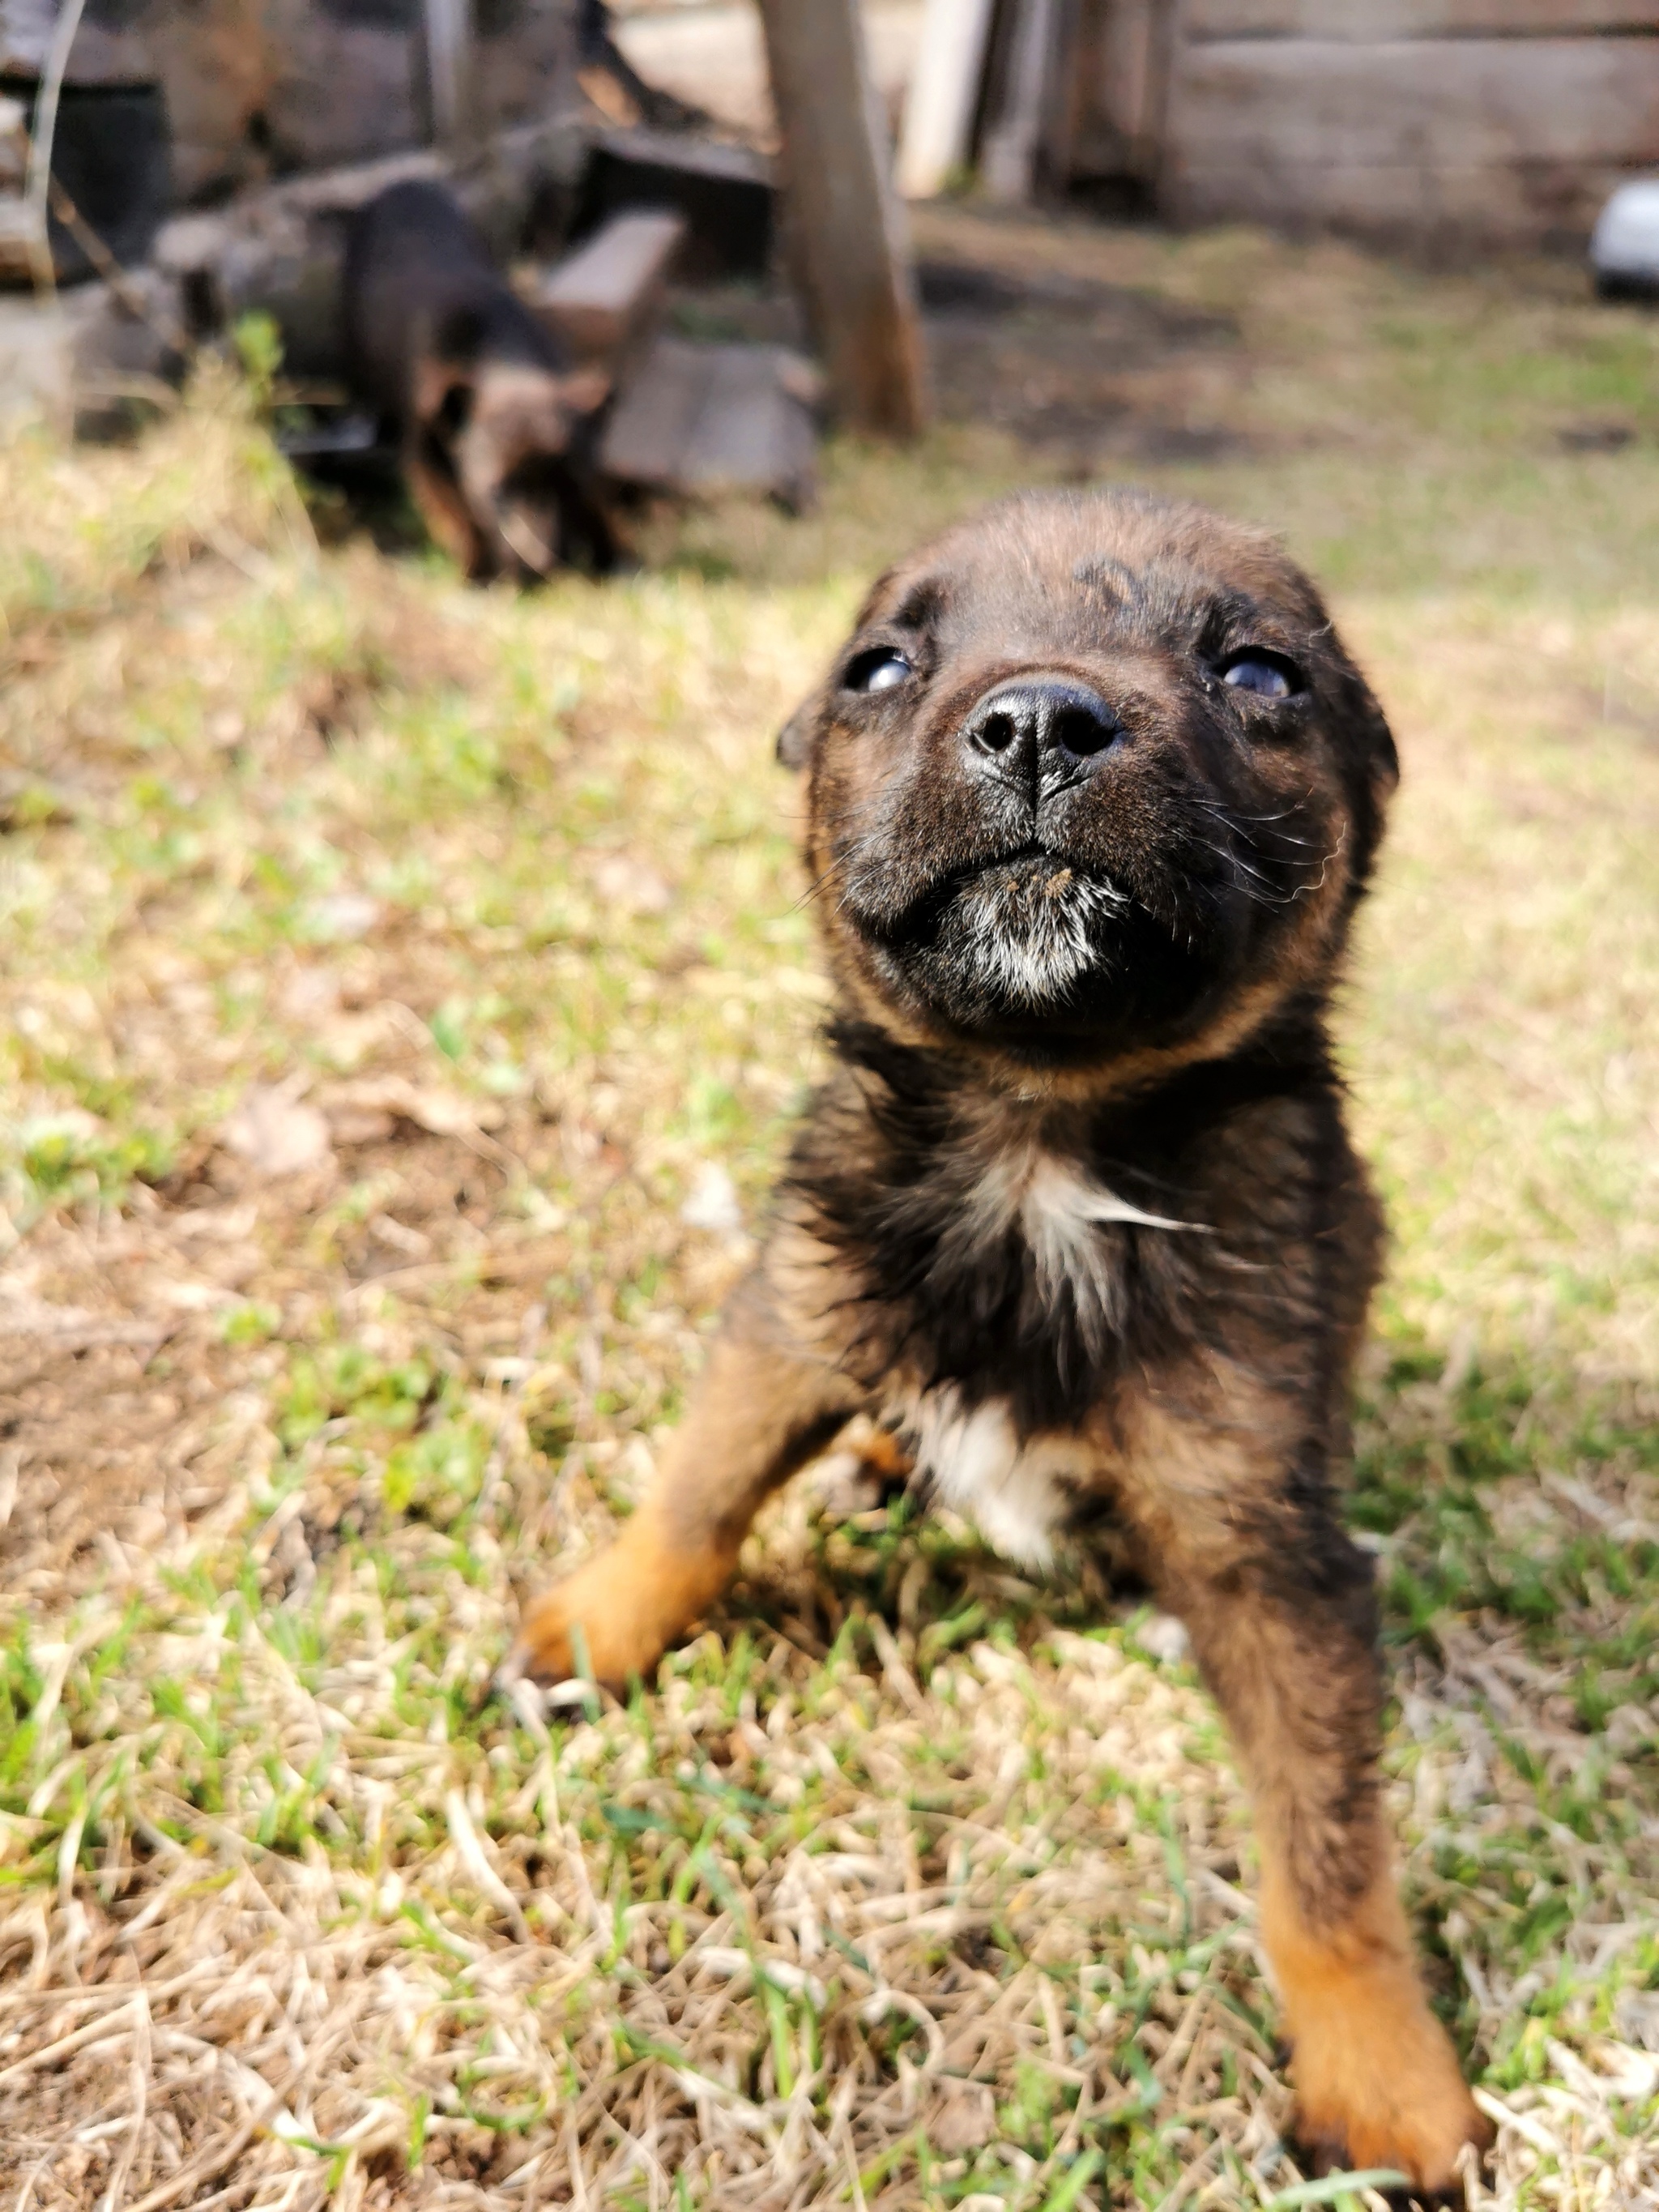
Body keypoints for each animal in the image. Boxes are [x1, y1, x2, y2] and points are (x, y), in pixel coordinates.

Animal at [343, 184, 619, 579]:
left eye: (563, 482)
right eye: (498, 492)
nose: (543, 559)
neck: (503, 362)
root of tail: (406, 185)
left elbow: (595, 497)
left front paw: (615, 556)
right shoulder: (426, 450)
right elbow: (461, 515)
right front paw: (482, 571)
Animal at [510, 489, 1495, 2194]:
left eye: (1258, 675)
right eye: (879, 666)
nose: (1037, 722)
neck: (1041, 1142)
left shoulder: (1264, 1538)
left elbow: (1325, 1857)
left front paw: (1383, 2080)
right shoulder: (796, 1309)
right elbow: (696, 1494)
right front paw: (595, 1624)